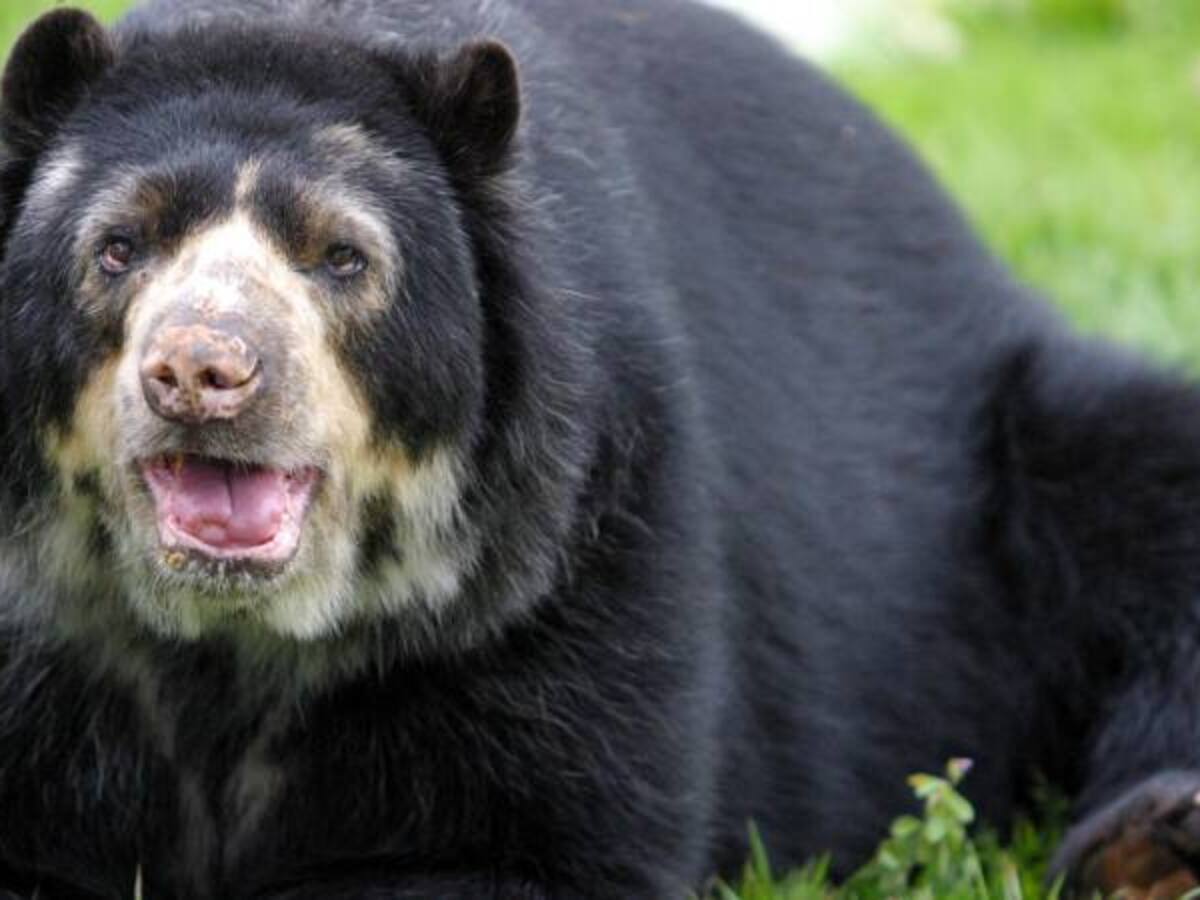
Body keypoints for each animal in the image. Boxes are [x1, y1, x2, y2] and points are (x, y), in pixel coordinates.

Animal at [0, 0, 1199, 897]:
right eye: (118, 247)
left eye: (342, 256)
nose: (202, 372)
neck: (228, 645)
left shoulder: (572, 553)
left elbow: (547, 832)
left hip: (1019, 450)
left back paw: (1153, 846)